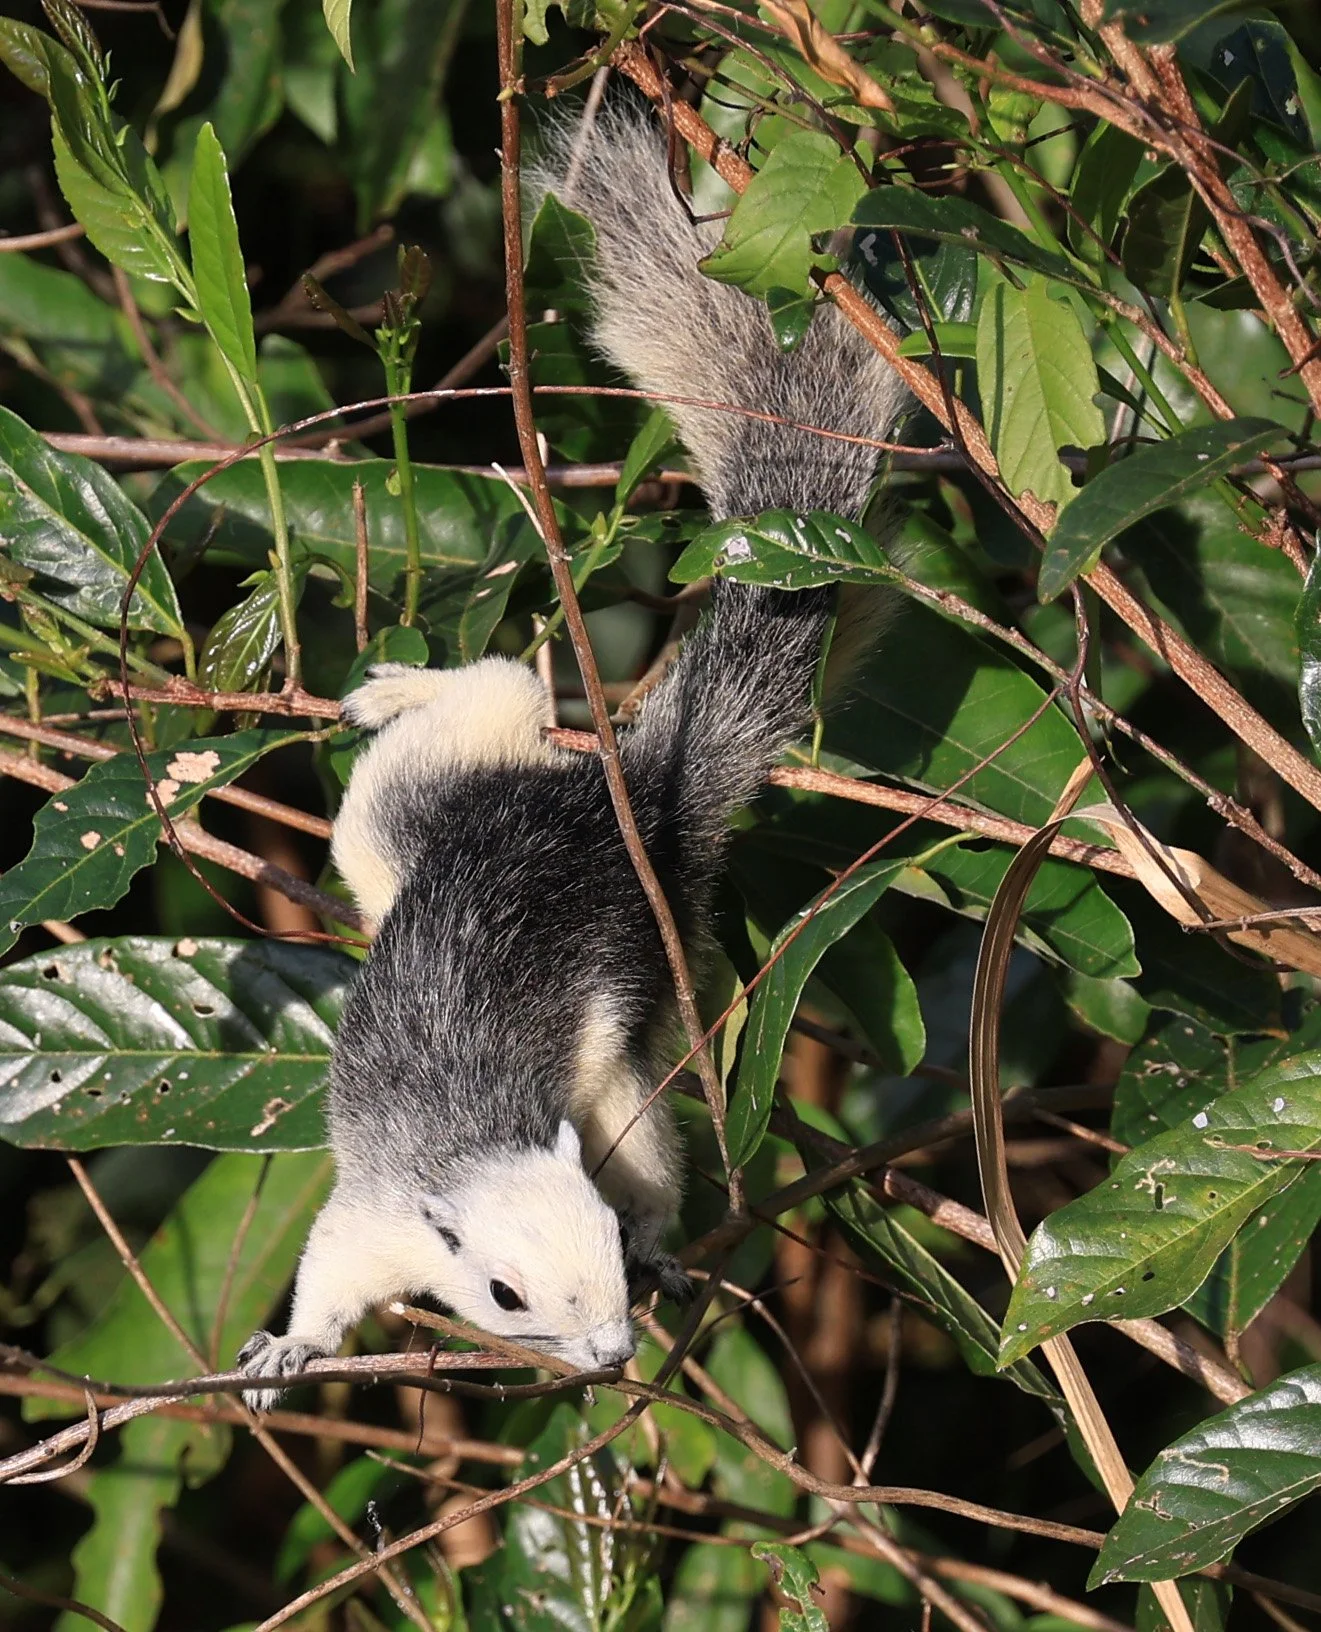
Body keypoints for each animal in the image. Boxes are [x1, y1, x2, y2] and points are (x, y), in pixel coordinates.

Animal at [238, 106, 905, 1409]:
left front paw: (654, 1244)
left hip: (617, 1001)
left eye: (597, 1239)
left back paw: (415, 684)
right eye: (503, 1297)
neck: (475, 1147)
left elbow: (635, 1180)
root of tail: (624, 797)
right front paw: (288, 1348)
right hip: (395, 836)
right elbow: (330, 1278)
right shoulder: (376, 1219)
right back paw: (400, 687)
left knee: (495, 691)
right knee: (448, 737)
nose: (607, 1354)